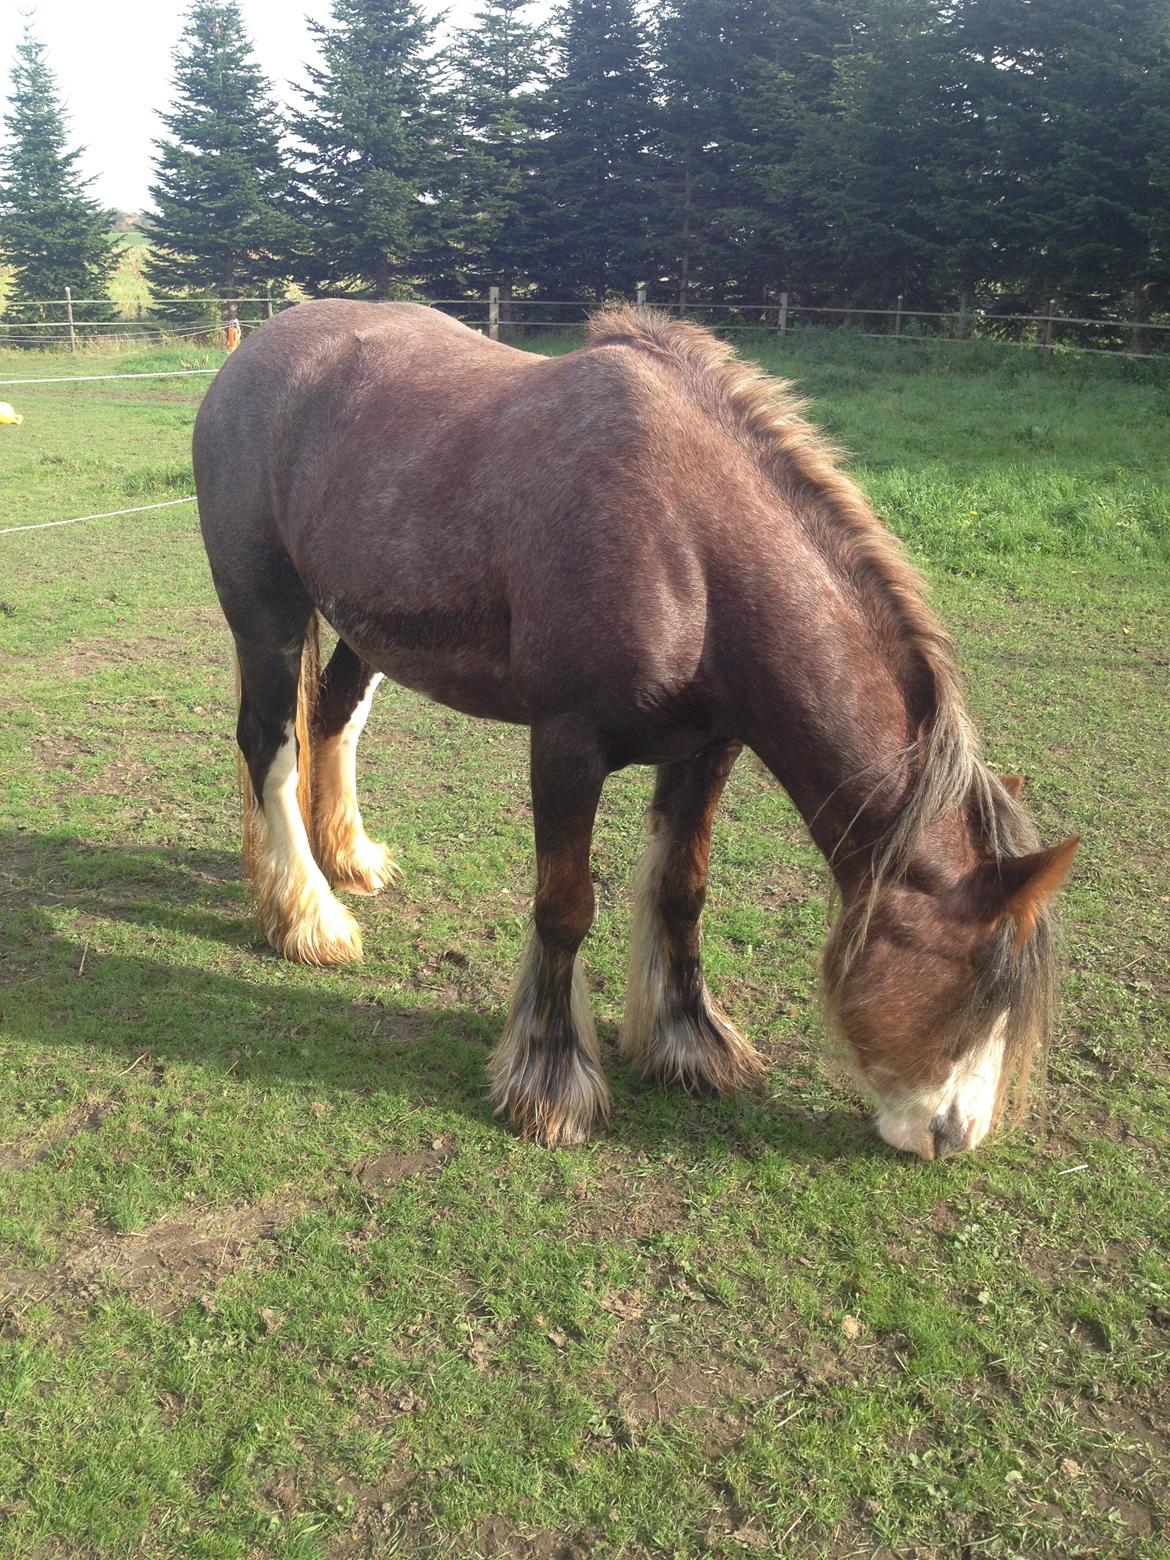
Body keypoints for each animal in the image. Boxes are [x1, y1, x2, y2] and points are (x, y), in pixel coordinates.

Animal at [192, 301, 1079, 1160]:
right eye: (977, 984)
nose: (955, 1135)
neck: (689, 546)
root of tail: (253, 348)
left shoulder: (709, 749)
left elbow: (682, 893)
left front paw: (690, 1044)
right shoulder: (565, 745)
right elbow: (565, 907)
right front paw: (552, 1083)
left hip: (363, 625)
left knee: (335, 718)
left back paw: (347, 859)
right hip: (266, 612)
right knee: (270, 747)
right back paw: (307, 918)